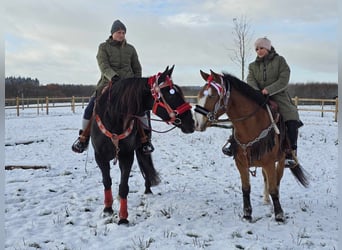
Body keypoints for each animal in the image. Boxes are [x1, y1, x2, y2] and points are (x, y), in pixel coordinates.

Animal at [90, 65, 195, 224]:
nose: (191, 123)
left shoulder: (126, 156)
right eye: (171, 95)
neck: (114, 117)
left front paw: (123, 218)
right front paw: (108, 209)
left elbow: (124, 187)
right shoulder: (100, 157)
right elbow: (107, 181)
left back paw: (148, 189)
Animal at [194, 70, 308, 223]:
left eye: (211, 95)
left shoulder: (270, 163)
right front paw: (247, 214)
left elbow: (274, 188)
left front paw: (279, 215)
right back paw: (266, 200)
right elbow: (246, 188)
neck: (251, 125)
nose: (197, 122)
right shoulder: (241, 163)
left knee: (277, 181)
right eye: (200, 94)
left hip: (281, 160)